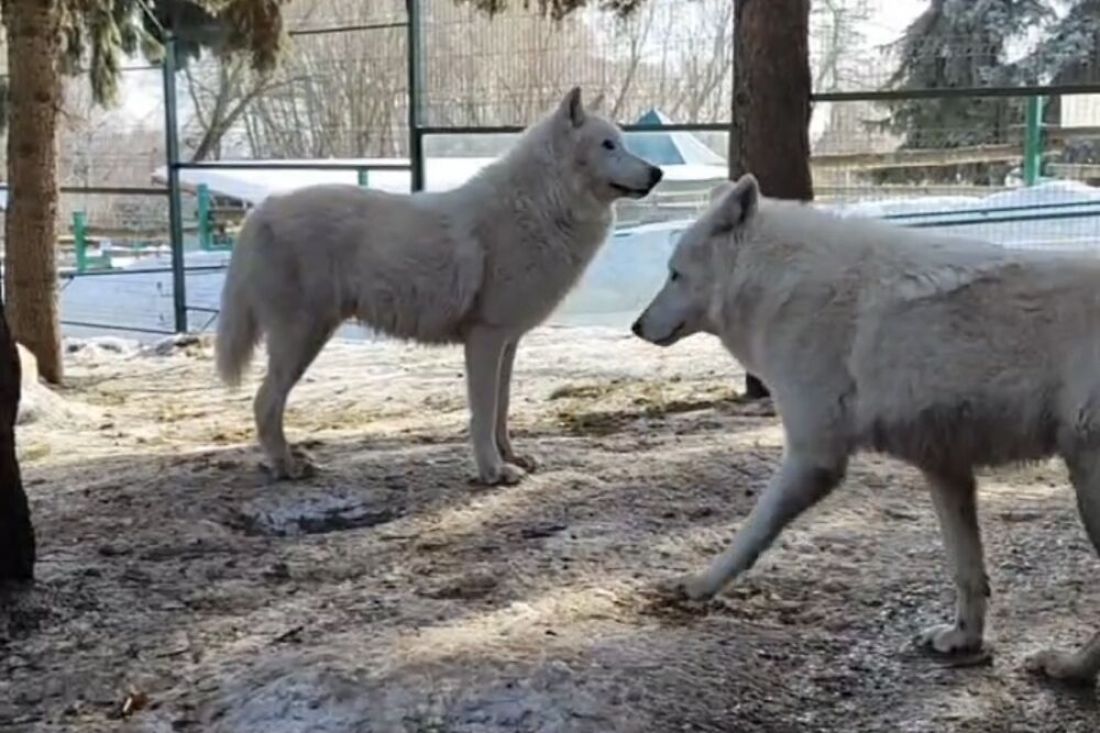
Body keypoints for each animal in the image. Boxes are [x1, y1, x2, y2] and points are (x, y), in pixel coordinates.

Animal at [214, 88, 660, 482]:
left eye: (622, 144)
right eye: (608, 145)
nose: (657, 172)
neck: (542, 205)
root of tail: (260, 211)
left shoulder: (508, 341)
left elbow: (502, 409)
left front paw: (510, 458)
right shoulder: (484, 338)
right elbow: (483, 413)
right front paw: (493, 472)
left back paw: (288, 461)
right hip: (302, 338)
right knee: (264, 402)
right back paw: (286, 466)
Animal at [633, 173, 1100, 682]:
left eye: (674, 274)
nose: (636, 326)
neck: (779, 285)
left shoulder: (814, 457)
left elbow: (750, 533)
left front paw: (701, 584)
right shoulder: (945, 468)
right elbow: (966, 570)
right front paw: (963, 640)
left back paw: (1070, 667)